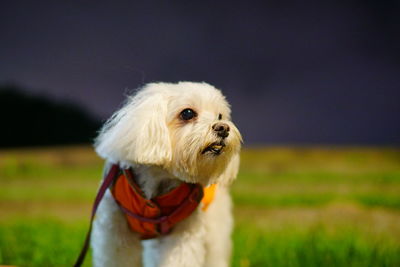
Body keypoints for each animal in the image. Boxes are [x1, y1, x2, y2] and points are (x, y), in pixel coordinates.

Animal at [90, 82, 241, 267]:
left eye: (220, 116)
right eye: (187, 113)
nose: (223, 128)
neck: (158, 181)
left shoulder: (183, 232)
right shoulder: (114, 231)